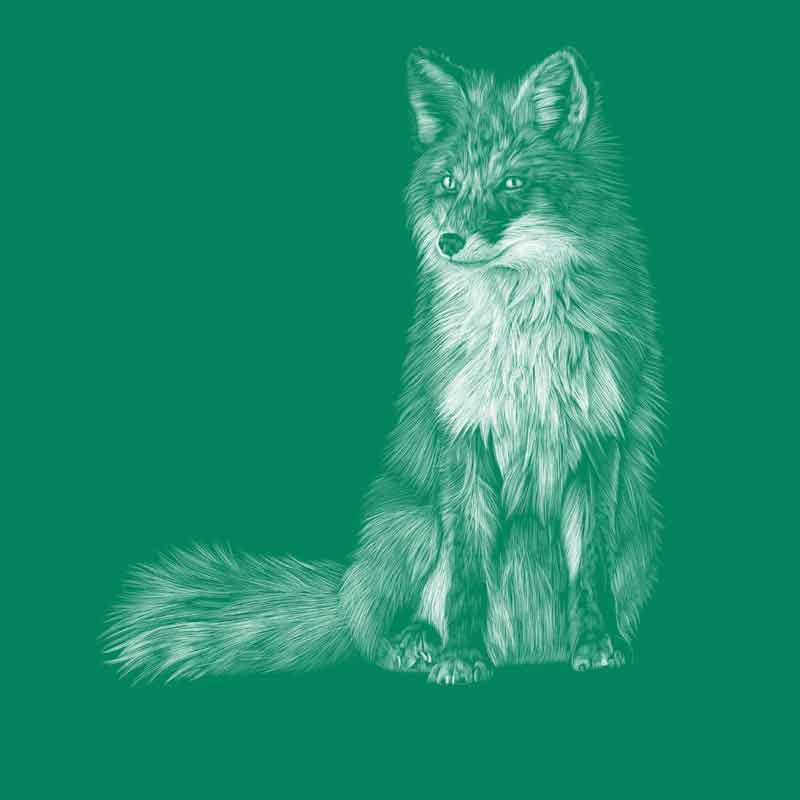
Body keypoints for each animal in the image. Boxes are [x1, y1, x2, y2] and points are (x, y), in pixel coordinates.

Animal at [105, 47, 663, 685]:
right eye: (448, 183)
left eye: (513, 182)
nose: (449, 241)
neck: (523, 338)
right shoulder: (464, 435)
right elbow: (466, 576)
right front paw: (461, 657)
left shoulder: (599, 439)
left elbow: (589, 567)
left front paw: (598, 644)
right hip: (411, 530)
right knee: (370, 629)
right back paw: (416, 643)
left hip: (640, 535)